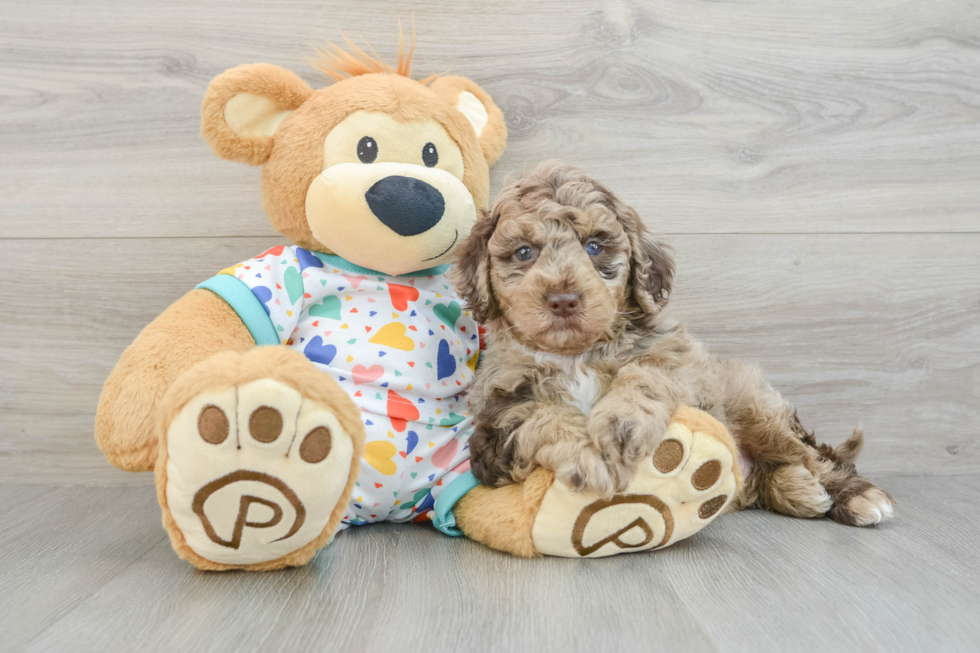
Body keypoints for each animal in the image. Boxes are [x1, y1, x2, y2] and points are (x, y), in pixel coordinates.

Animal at [452, 160, 896, 528]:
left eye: (594, 246)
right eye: (524, 252)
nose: (563, 299)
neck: (576, 356)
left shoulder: (679, 367)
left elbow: (645, 374)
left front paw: (621, 424)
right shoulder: (494, 426)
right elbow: (542, 418)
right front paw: (588, 456)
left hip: (758, 409)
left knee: (815, 456)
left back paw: (856, 496)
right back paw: (800, 491)